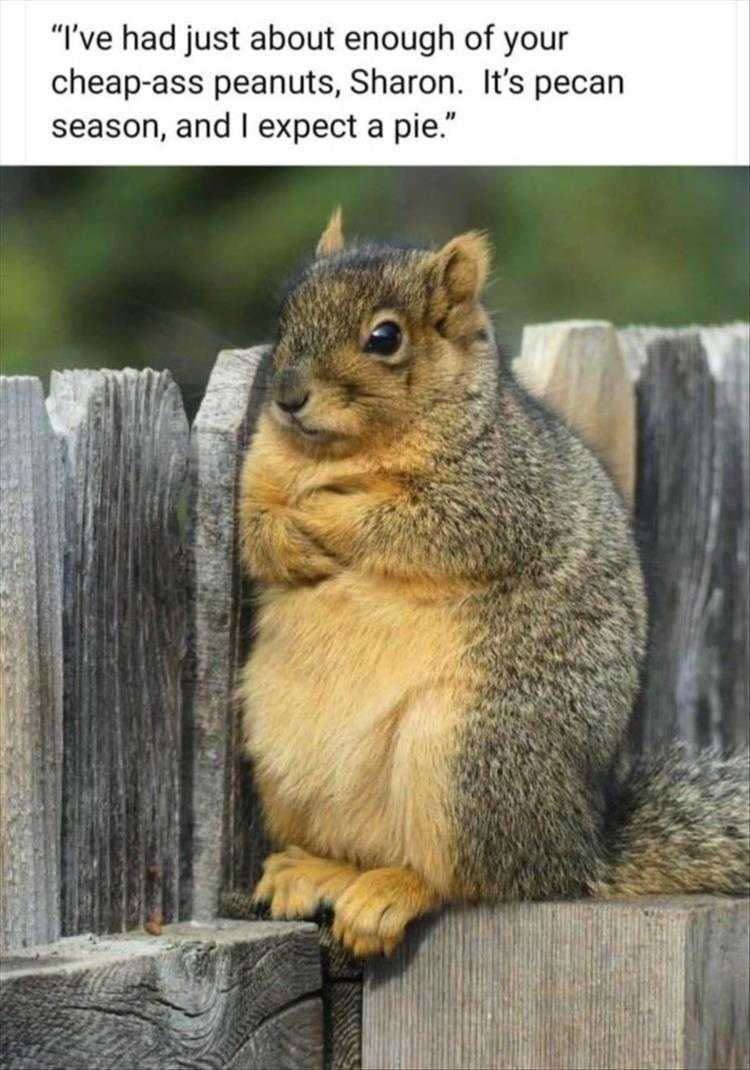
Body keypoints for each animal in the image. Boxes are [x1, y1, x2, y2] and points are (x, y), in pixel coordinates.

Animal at [235, 210, 749, 958]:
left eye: (384, 337)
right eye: (285, 315)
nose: (287, 396)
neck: (340, 453)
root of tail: (578, 852)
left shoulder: (498, 493)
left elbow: (412, 524)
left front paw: (325, 513)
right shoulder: (257, 469)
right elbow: (252, 528)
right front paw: (286, 538)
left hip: (467, 756)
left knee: (471, 879)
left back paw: (393, 893)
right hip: (281, 758)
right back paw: (317, 869)